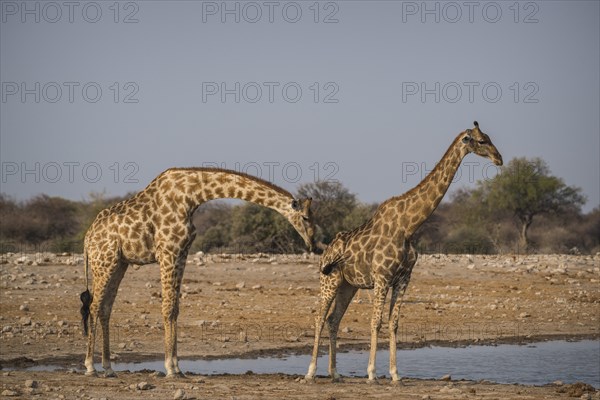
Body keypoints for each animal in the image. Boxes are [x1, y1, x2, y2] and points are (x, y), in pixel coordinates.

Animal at [80, 166, 316, 378]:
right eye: (305, 217)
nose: (312, 243)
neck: (191, 196)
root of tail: (87, 238)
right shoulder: (168, 252)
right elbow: (167, 308)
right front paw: (170, 368)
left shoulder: (182, 254)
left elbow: (175, 309)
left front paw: (177, 367)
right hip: (104, 261)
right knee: (94, 305)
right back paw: (90, 367)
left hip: (120, 263)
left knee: (105, 308)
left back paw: (108, 368)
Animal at [304, 121, 502, 384]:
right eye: (481, 141)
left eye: (489, 137)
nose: (499, 158)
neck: (408, 226)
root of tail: (325, 252)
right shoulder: (382, 277)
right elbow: (376, 322)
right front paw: (372, 373)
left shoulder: (403, 278)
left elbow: (393, 323)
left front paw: (395, 373)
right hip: (329, 279)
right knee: (319, 318)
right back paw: (311, 372)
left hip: (348, 285)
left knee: (333, 320)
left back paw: (334, 373)